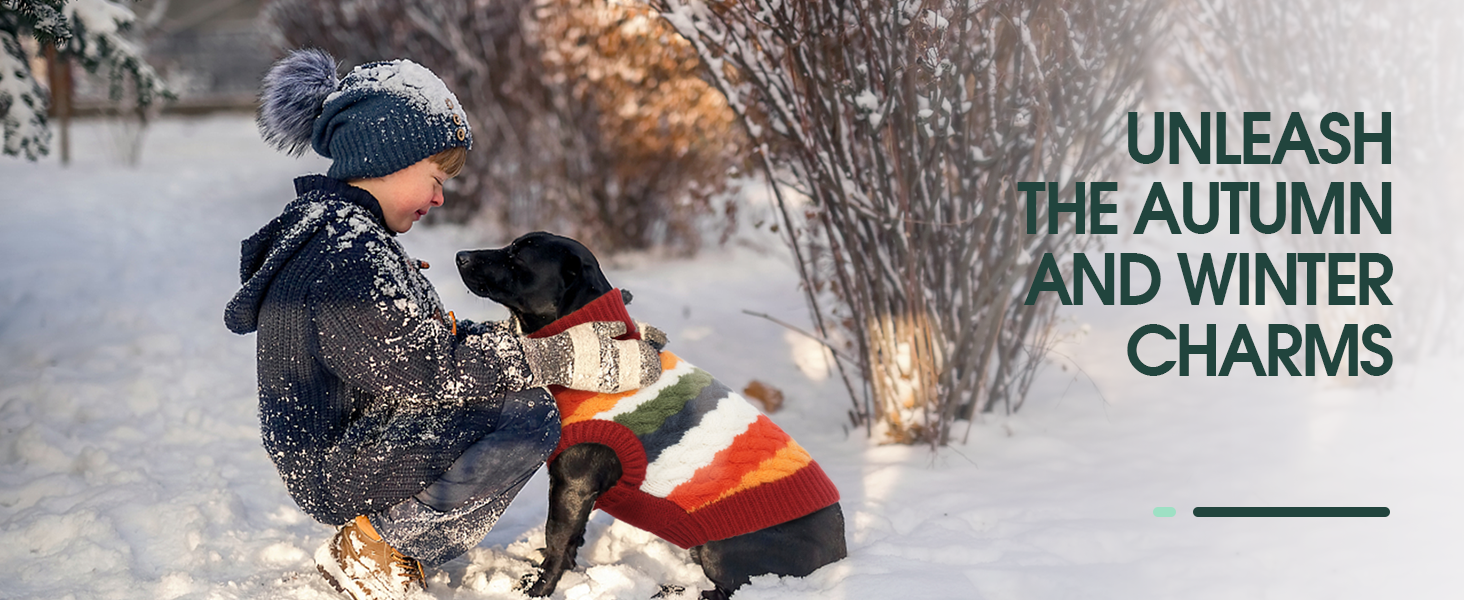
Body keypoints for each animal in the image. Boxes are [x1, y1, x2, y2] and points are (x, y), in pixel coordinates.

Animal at [456, 232, 849, 597]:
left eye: (518, 256)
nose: (461, 255)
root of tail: (839, 553)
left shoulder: (573, 482)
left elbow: (557, 539)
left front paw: (538, 587)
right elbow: (569, 541)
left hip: (721, 550)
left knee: (728, 590)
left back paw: (673, 590)